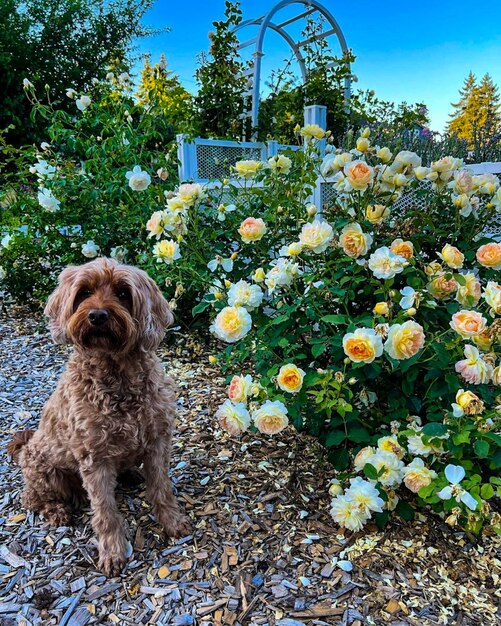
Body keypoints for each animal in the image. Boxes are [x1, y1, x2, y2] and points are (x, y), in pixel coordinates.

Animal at [7, 256, 191, 572]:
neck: (117, 374)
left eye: (123, 293)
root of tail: (24, 447)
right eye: (83, 293)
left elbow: (162, 488)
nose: (97, 315)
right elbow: (105, 511)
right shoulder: (95, 458)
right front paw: (113, 552)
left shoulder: (158, 441)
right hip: (45, 471)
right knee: (32, 499)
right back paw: (56, 511)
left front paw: (172, 522)